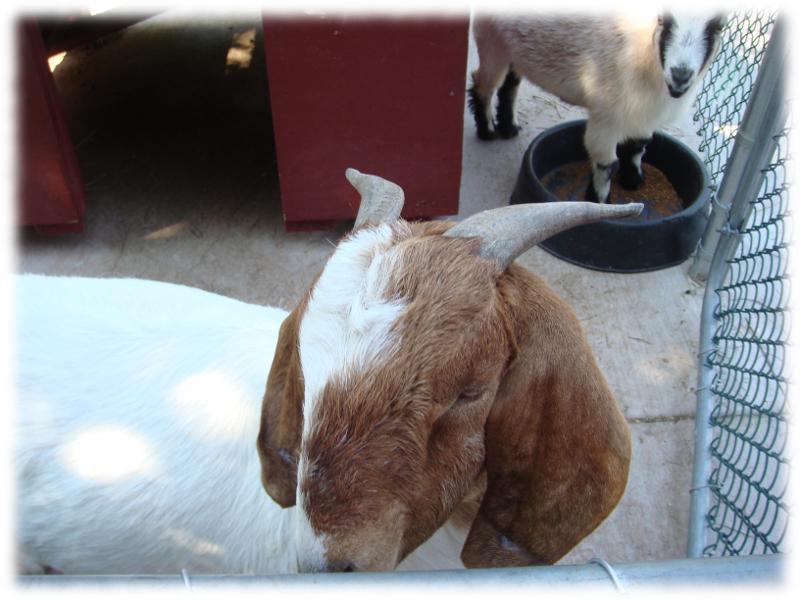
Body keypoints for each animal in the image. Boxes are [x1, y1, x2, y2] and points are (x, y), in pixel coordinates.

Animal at [469, 11, 725, 202]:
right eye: (664, 19)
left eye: (717, 27)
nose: (680, 75)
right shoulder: (606, 115)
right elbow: (607, 164)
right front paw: (600, 201)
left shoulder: (644, 113)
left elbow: (639, 145)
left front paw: (634, 181)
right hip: (491, 40)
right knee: (484, 84)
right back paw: (487, 131)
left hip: (512, 48)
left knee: (509, 84)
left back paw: (509, 127)